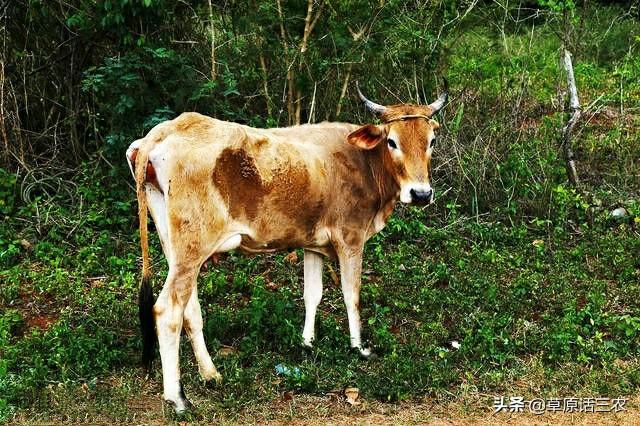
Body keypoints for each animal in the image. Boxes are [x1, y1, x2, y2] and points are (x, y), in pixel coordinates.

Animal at [127, 81, 448, 412]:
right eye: (392, 142)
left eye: (431, 141)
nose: (421, 194)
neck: (363, 162)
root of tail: (167, 128)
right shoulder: (350, 238)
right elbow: (352, 295)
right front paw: (359, 348)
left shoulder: (313, 244)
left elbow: (313, 295)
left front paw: (307, 343)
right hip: (192, 250)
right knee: (168, 311)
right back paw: (177, 397)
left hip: (176, 249)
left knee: (189, 308)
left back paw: (210, 374)